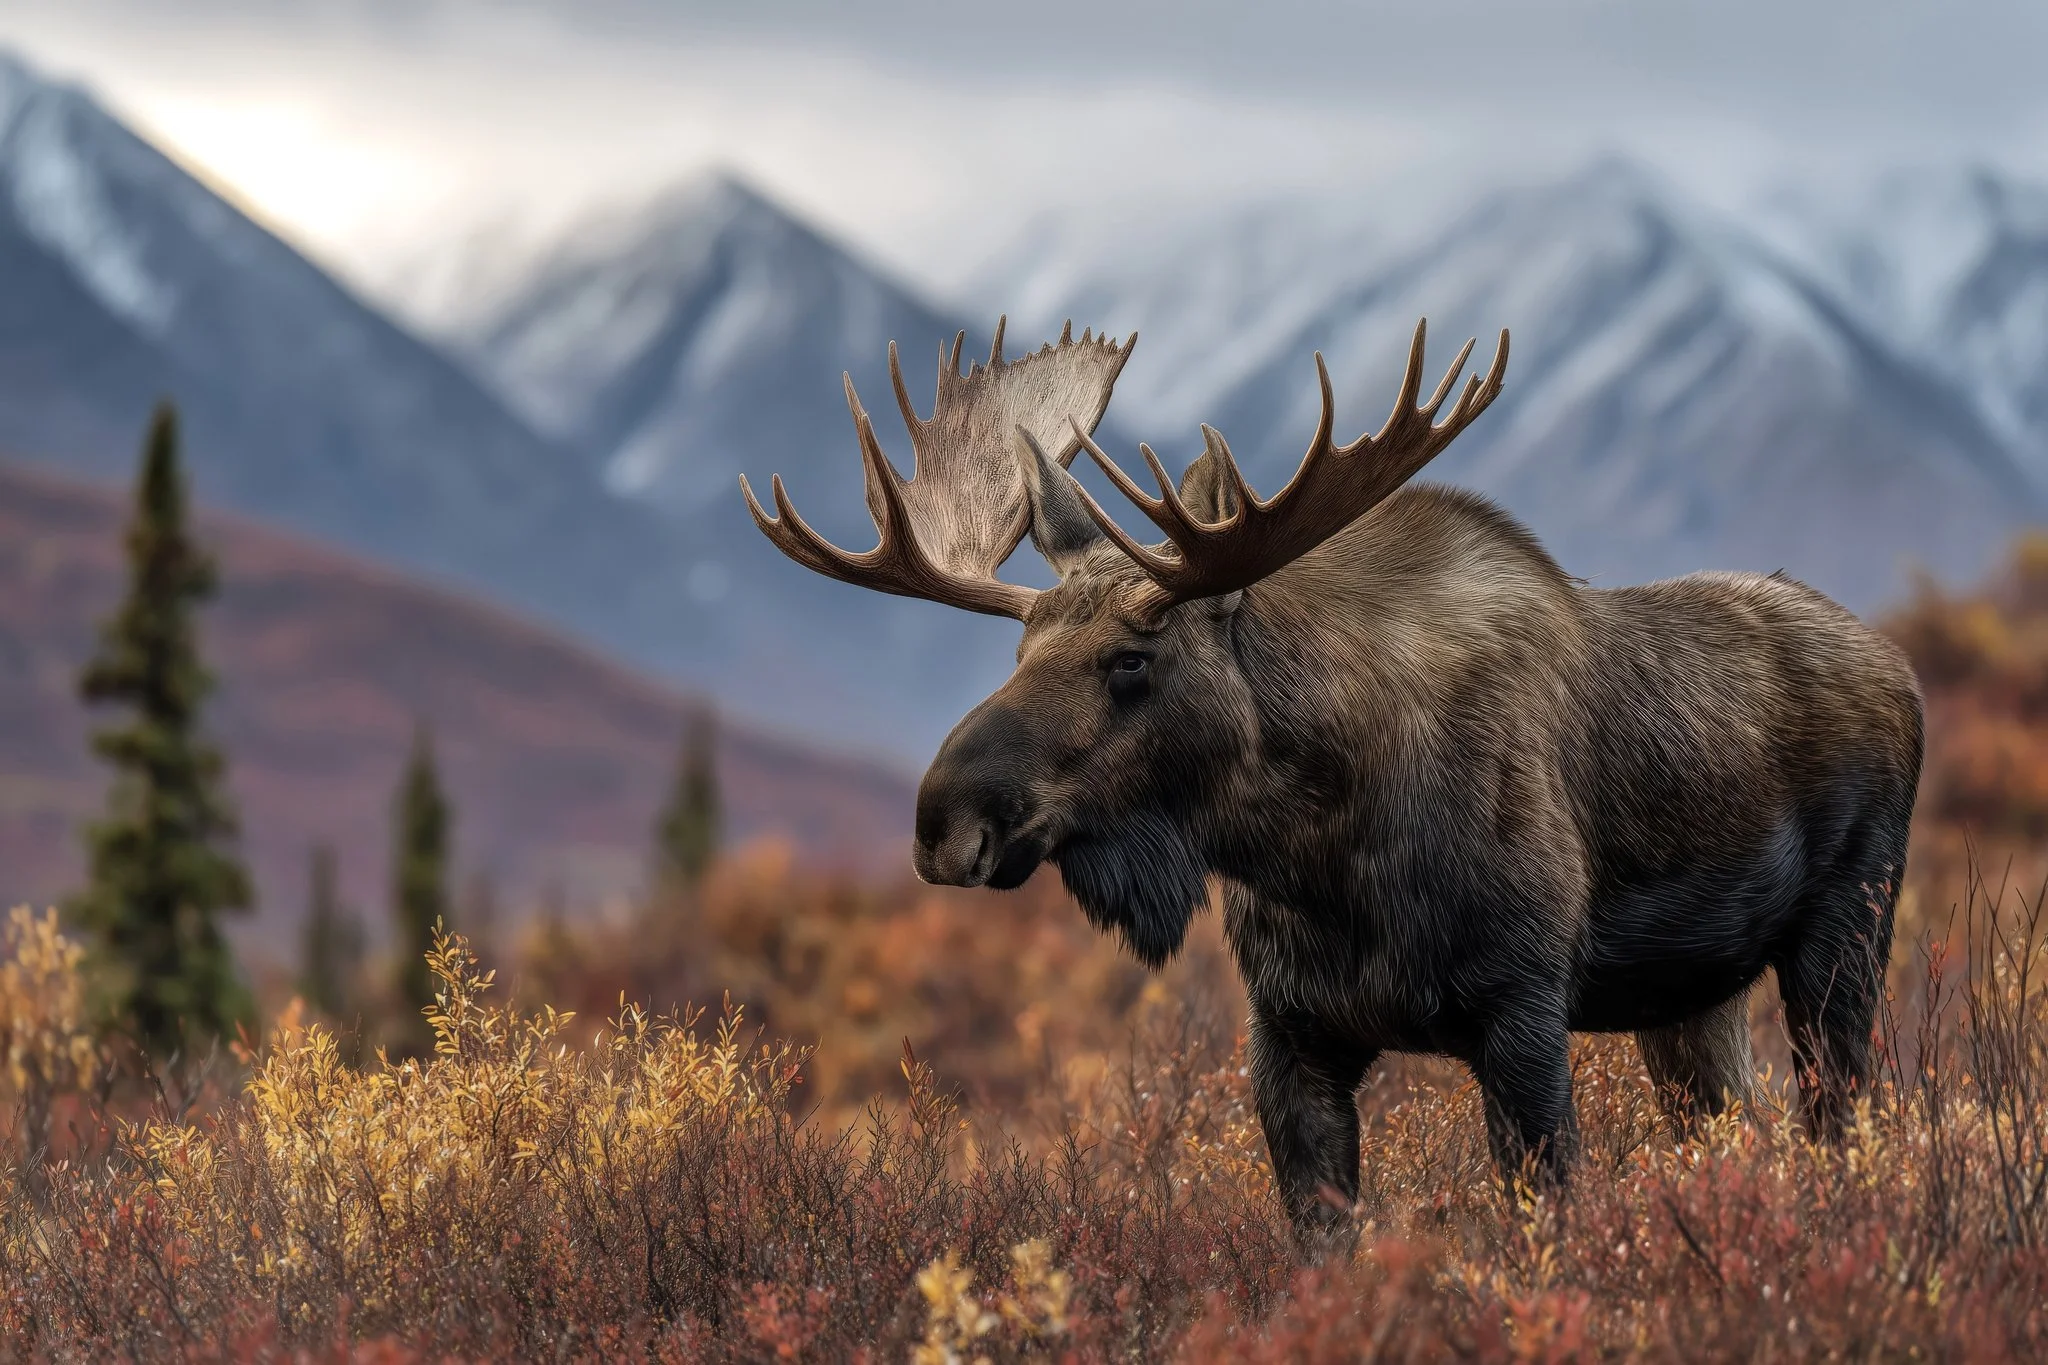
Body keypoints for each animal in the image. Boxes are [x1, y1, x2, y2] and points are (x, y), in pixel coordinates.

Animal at [740, 317, 1923, 1251]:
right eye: (1018, 652)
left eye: (1131, 659)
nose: (945, 821)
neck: (1318, 855)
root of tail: (1899, 671)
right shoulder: (1293, 1033)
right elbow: (1323, 1246)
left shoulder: (1522, 1008)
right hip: (1690, 996)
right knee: (1743, 1124)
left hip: (1843, 934)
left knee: (1836, 1115)